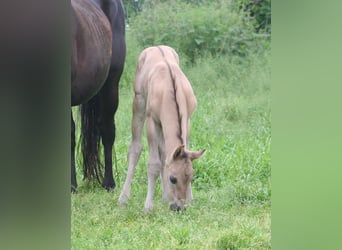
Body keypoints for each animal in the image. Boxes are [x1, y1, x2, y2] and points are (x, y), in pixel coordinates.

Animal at [119, 45, 204, 211]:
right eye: (173, 179)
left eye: (191, 176)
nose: (179, 207)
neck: (170, 91)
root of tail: (154, 47)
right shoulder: (152, 121)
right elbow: (154, 164)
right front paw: (148, 206)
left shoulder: (187, 121)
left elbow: (171, 155)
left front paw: (189, 199)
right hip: (139, 103)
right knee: (135, 148)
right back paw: (123, 198)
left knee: (164, 151)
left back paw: (165, 197)